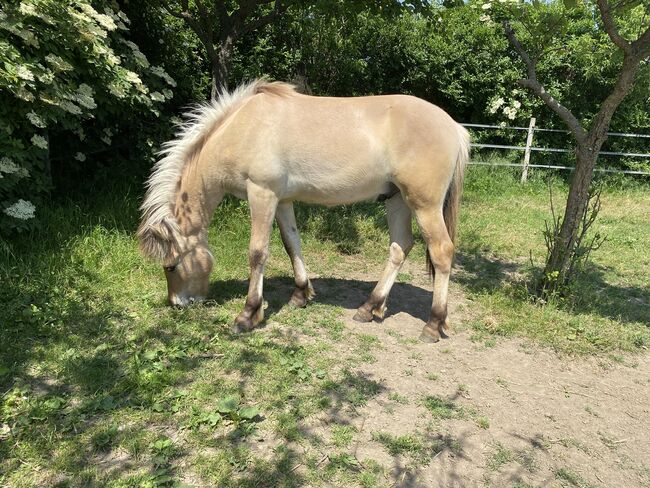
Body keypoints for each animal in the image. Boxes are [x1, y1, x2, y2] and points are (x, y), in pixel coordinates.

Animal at [138, 78, 466, 344]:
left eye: (171, 266)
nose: (178, 304)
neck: (243, 129)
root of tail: (455, 127)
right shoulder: (282, 201)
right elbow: (291, 243)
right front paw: (300, 294)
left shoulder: (262, 194)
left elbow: (257, 253)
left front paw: (248, 315)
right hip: (397, 200)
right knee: (400, 247)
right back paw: (370, 307)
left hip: (424, 205)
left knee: (441, 251)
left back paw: (433, 324)